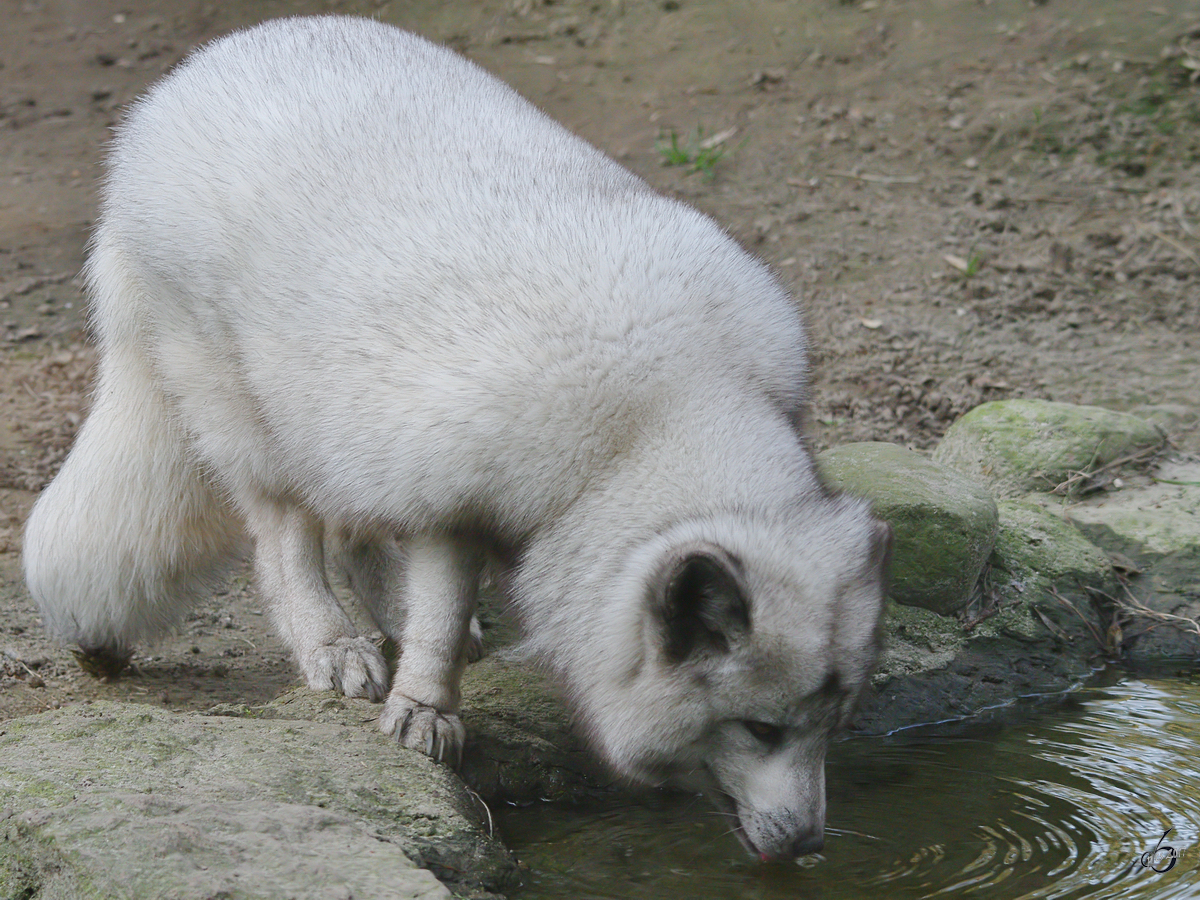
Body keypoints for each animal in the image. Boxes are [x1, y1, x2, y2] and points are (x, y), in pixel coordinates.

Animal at [23, 15, 892, 859]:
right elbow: (439, 610)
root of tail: (180, 80)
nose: (807, 846)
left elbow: (432, 603)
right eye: (759, 729)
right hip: (244, 407)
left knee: (354, 533)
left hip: (347, 423)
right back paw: (333, 644)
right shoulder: (459, 500)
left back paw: (386, 618)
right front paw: (426, 711)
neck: (659, 416)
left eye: (836, 727)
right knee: (284, 543)